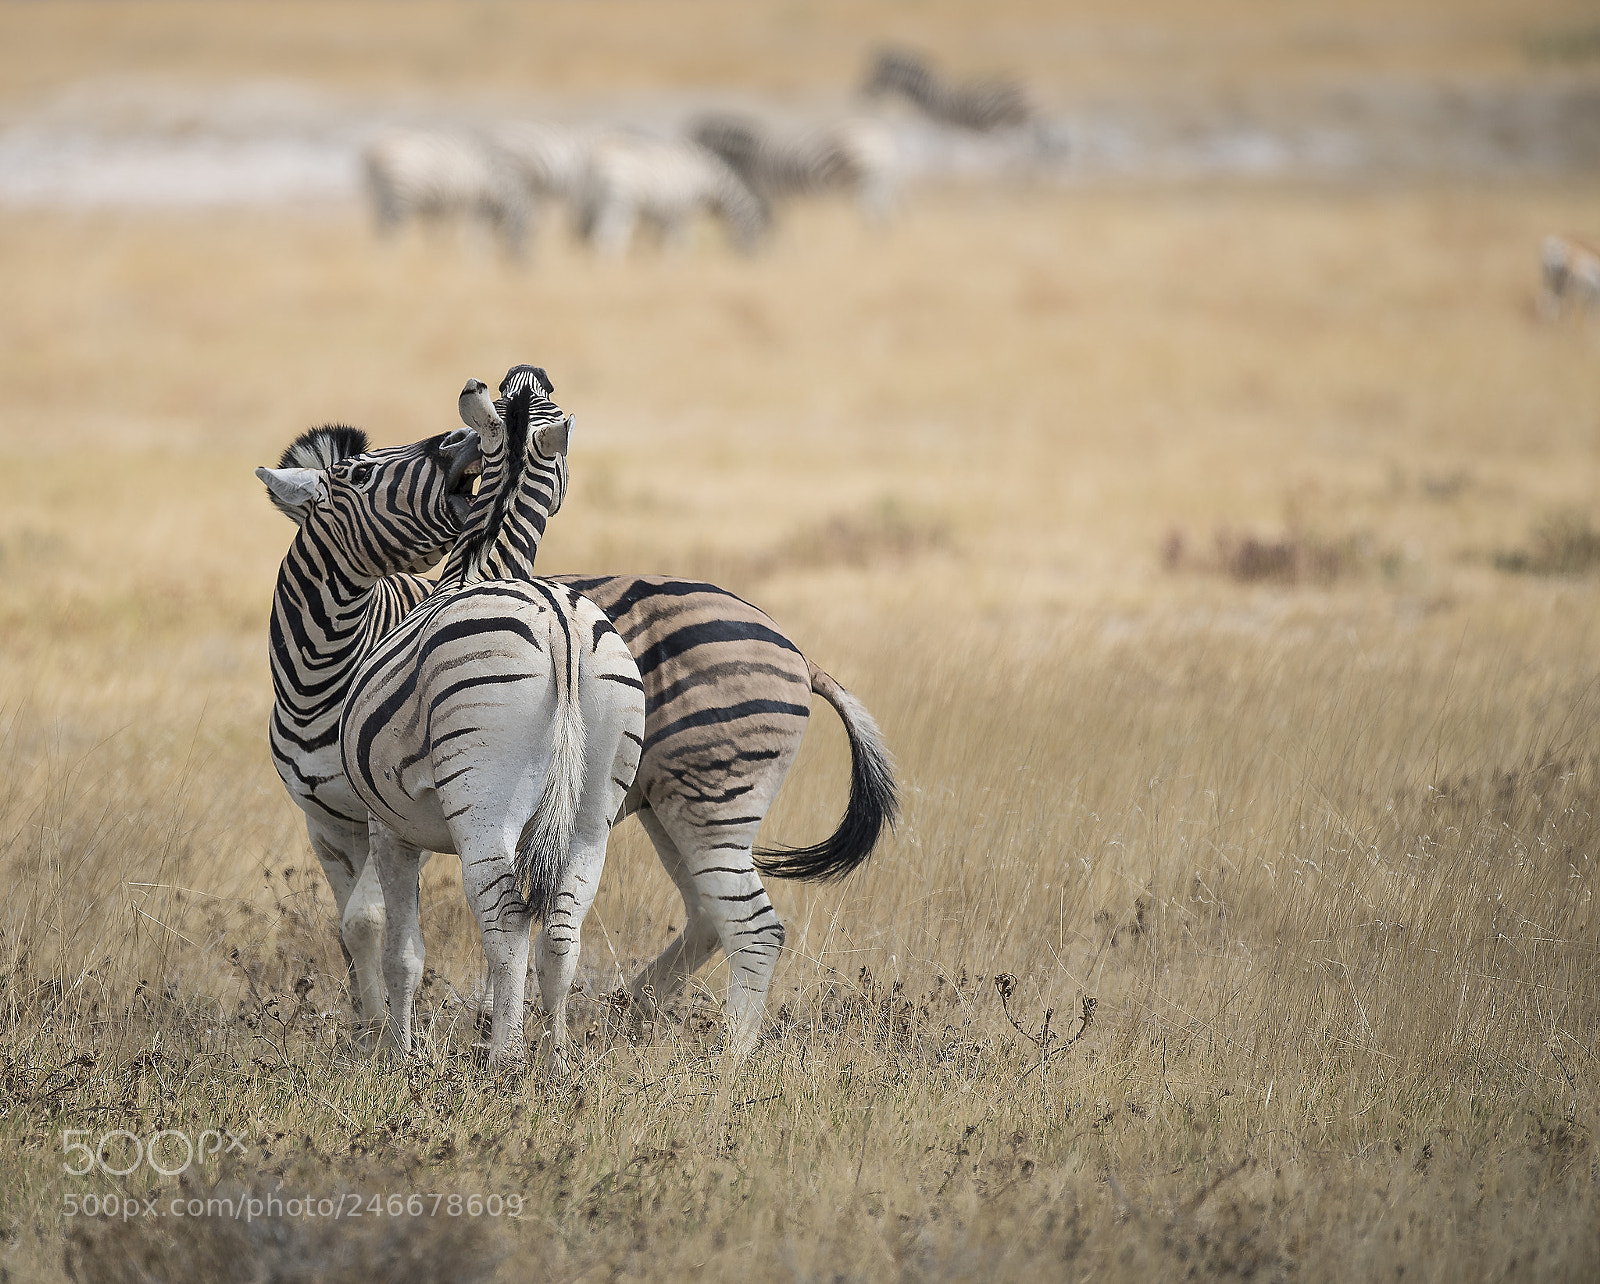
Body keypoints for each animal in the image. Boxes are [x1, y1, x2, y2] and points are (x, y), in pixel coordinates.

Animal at [257, 424, 483, 1030]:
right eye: (359, 474)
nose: (463, 435)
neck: (317, 678)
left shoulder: (394, 819)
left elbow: (366, 917)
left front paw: (383, 1029)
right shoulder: (326, 826)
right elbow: (346, 931)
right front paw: (367, 1024)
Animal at [339, 368, 645, 1070]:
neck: (478, 565)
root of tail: (560, 625)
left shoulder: (390, 828)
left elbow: (403, 954)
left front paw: (397, 1058)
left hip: (483, 803)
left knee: (505, 921)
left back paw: (503, 1060)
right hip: (595, 808)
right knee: (562, 925)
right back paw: (553, 1061)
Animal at [362, 128, 531, 256]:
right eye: (525, 236)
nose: (525, 270)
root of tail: (375, 151)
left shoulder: (442, 209)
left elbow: (436, 234)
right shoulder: (474, 206)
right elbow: (475, 238)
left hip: (379, 197)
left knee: (380, 229)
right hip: (401, 197)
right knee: (390, 230)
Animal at [574, 132, 770, 258]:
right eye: (755, 236)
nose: (751, 261)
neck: (709, 179)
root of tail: (595, 160)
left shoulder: (670, 211)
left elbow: (665, 241)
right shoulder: (685, 209)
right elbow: (681, 241)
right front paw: (676, 267)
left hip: (592, 202)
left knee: (596, 235)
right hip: (619, 202)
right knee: (609, 235)